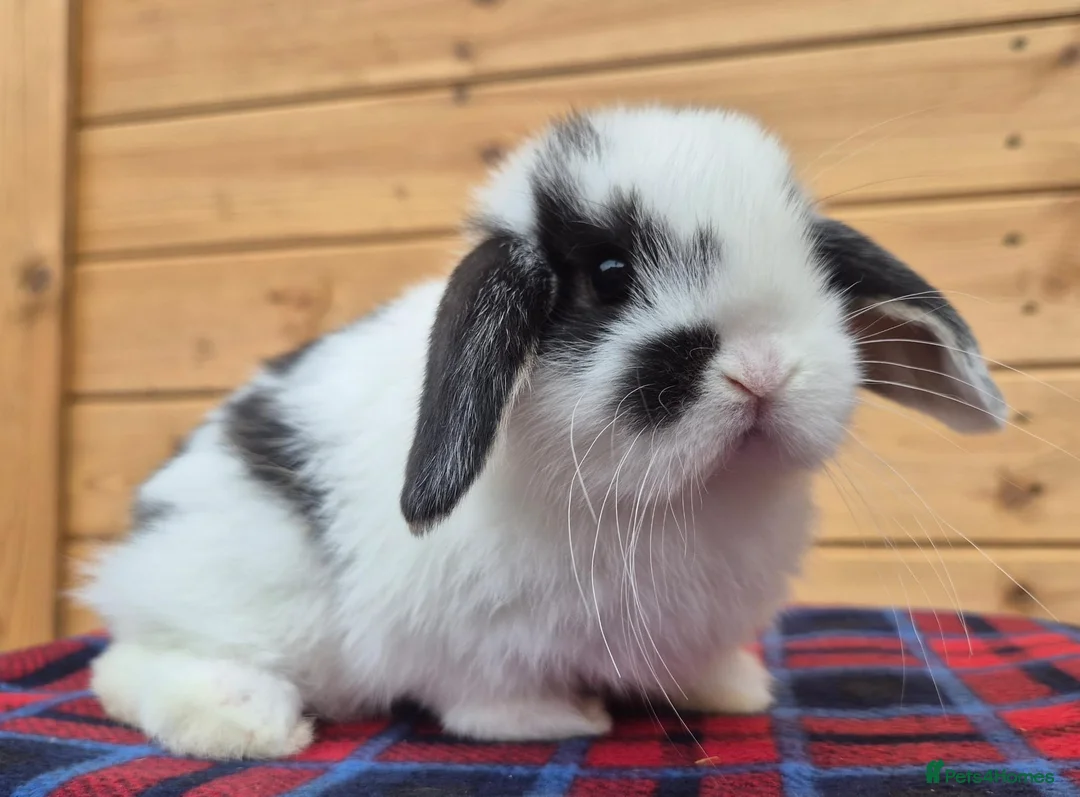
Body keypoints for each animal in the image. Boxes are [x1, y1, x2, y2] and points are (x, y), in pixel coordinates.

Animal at [76, 105, 1007, 760]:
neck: (678, 499)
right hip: (251, 595)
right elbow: (485, 695)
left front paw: (735, 690)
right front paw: (555, 719)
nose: (764, 371)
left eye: (814, 266)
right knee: (127, 664)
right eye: (610, 275)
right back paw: (245, 721)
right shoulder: (471, 640)